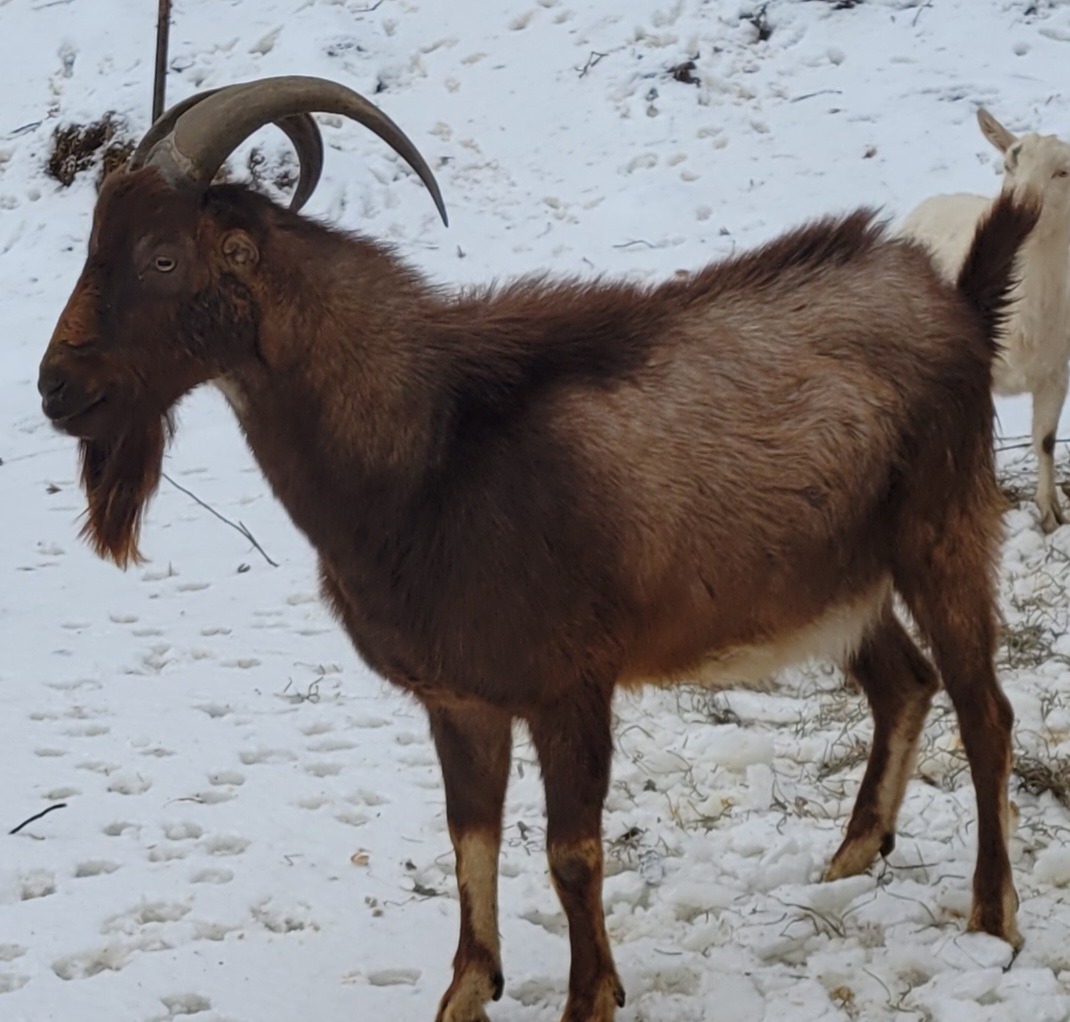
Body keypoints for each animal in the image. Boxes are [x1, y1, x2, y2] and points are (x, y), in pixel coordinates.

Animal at [38, 76, 1037, 1022]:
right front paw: (466, 990)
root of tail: (954, 304)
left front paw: (589, 997)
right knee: (903, 683)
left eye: (163, 256)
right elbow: (468, 841)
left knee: (985, 711)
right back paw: (852, 857)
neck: (433, 448)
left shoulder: (569, 684)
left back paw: (993, 917)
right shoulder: (459, 699)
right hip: (837, 584)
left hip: (942, 533)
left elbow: (572, 853)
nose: (55, 387)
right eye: (94, 241)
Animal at [900, 107, 1070, 533]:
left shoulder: (1056, 371)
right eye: (1010, 163)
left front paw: (1051, 513)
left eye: (1063, 172)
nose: (1020, 203)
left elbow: (1045, 439)